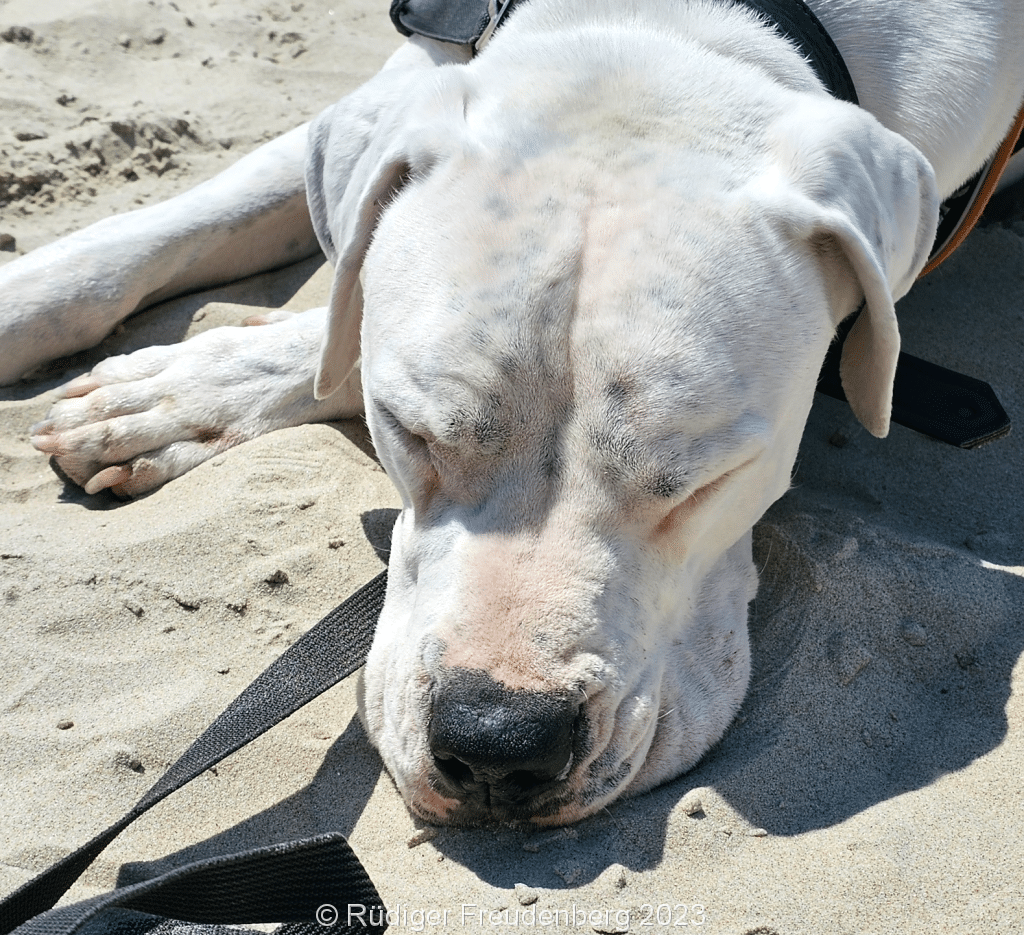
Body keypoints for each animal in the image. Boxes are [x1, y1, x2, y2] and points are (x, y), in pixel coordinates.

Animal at [2, 0, 1024, 819]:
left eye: (704, 481)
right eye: (411, 434)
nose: (499, 744)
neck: (671, 30)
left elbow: (334, 329)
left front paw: (175, 392)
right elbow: (205, 225)